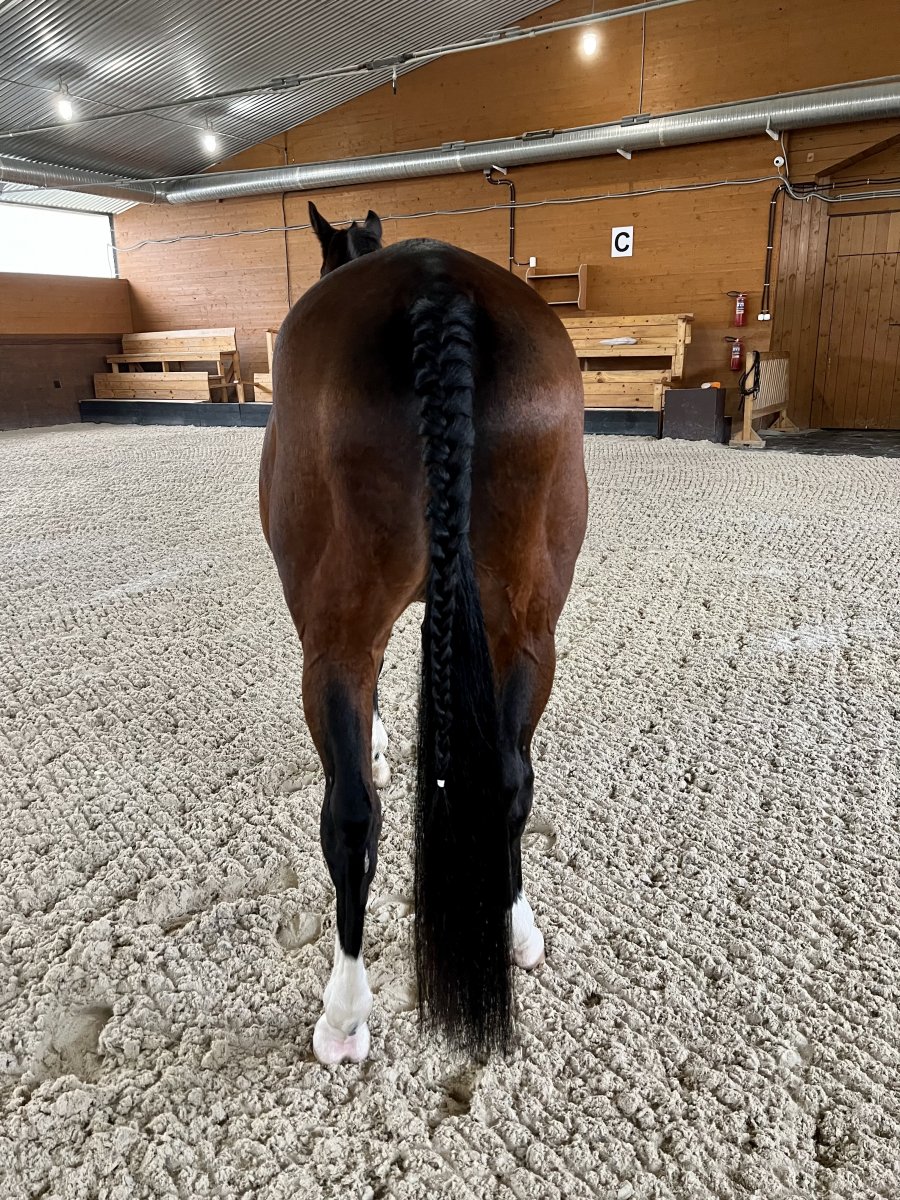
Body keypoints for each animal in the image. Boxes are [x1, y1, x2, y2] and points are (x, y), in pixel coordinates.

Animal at [259, 201, 587, 1064]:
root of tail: (439, 291)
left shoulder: (338, 639)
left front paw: (377, 742)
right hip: (527, 629)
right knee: (508, 781)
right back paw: (515, 930)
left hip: (336, 640)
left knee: (350, 817)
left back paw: (343, 1014)